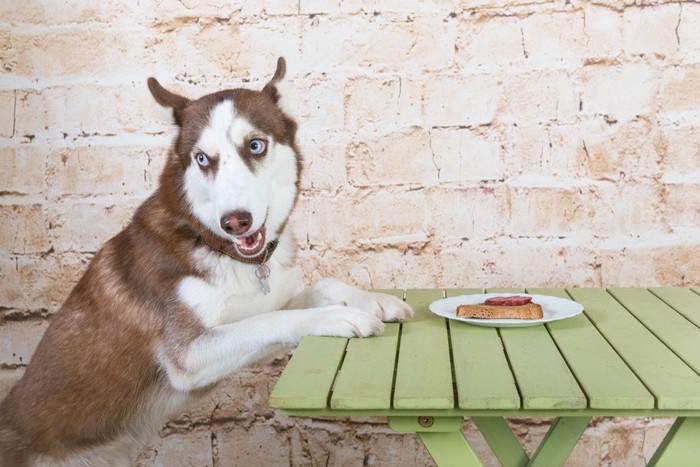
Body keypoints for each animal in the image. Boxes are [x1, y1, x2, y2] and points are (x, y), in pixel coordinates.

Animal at [0, 59, 410, 467]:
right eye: (202, 159)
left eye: (255, 145)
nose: (235, 221)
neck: (215, 245)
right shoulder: (189, 355)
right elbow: (269, 322)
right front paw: (337, 317)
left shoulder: (265, 299)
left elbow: (318, 288)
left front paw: (375, 300)